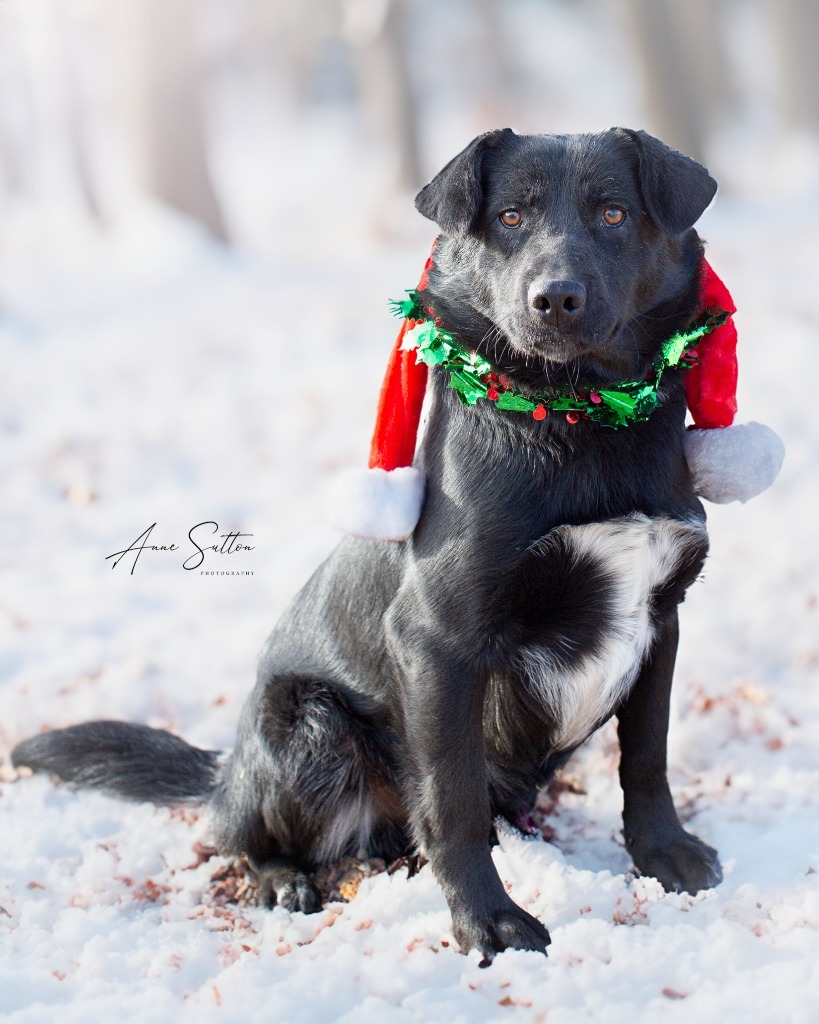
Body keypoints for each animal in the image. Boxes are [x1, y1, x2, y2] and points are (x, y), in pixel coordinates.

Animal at [12, 128, 720, 958]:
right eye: (511, 216)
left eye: (612, 213)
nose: (554, 298)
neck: (578, 413)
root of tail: (226, 770)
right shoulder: (437, 638)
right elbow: (452, 799)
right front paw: (487, 921)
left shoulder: (659, 617)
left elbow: (646, 757)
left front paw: (662, 853)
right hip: (310, 727)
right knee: (241, 841)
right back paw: (283, 881)